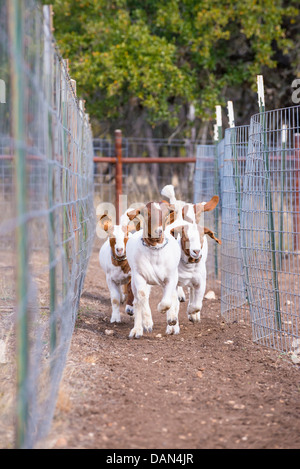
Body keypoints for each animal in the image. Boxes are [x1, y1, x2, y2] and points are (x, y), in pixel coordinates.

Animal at [126, 201, 180, 336]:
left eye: (166, 214)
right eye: (146, 214)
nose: (158, 231)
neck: (155, 249)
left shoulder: (171, 277)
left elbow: (167, 301)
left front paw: (165, 312)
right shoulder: (139, 275)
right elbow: (142, 296)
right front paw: (147, 323)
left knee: (174, 297)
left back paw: (172, 323)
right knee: (137, 300)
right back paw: (137, 330)